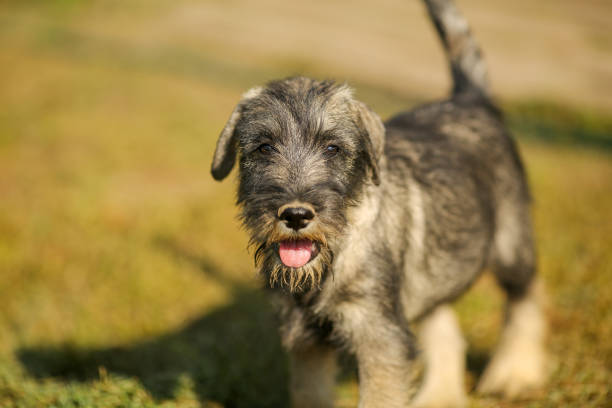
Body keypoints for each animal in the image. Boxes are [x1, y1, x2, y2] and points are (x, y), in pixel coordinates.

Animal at [209, 0, 544, 406]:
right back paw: (439, 396)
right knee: (444, 327)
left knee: (525, 298)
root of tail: (471, 100)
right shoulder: (307, 341)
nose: (296, 215)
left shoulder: (378, 336)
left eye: (333, 148)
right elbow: (310, 393)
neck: (335, 257)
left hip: (510, 243)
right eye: (263, 148)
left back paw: (515, 374)